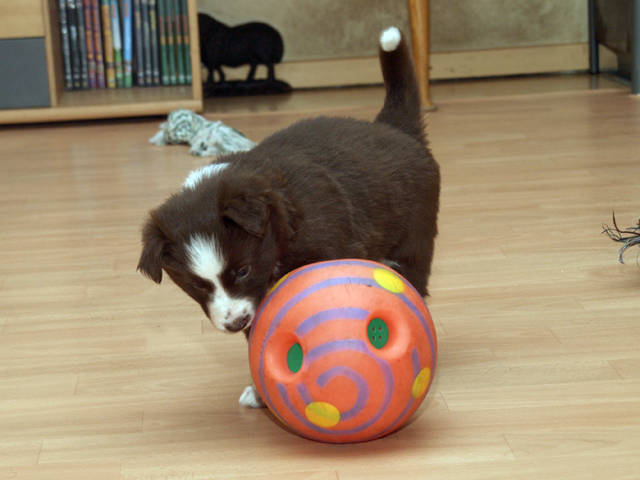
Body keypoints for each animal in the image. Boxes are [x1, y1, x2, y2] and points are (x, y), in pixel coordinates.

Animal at [138, 27, 440, 408]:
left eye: (243, 270)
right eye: (197, 286)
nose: (234, 322)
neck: (282, 226)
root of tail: (394, 128)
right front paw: (261, 391)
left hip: (414, 242)